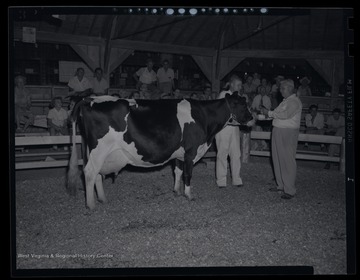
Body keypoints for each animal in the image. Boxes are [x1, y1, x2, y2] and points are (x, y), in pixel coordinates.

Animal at [67, 93, 253, 208]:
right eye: (243, 105)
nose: (252, 118)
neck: (203, 117)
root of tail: (90, 98)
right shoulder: (190, 151)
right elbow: (188, 174)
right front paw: (188, 194)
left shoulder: (179, 153)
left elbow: (178, 171)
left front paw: (176, 191)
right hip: (99, 149)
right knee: (90, 172)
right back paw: (91, 205)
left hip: (95, 151)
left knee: (97, 174)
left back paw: (102, 199)